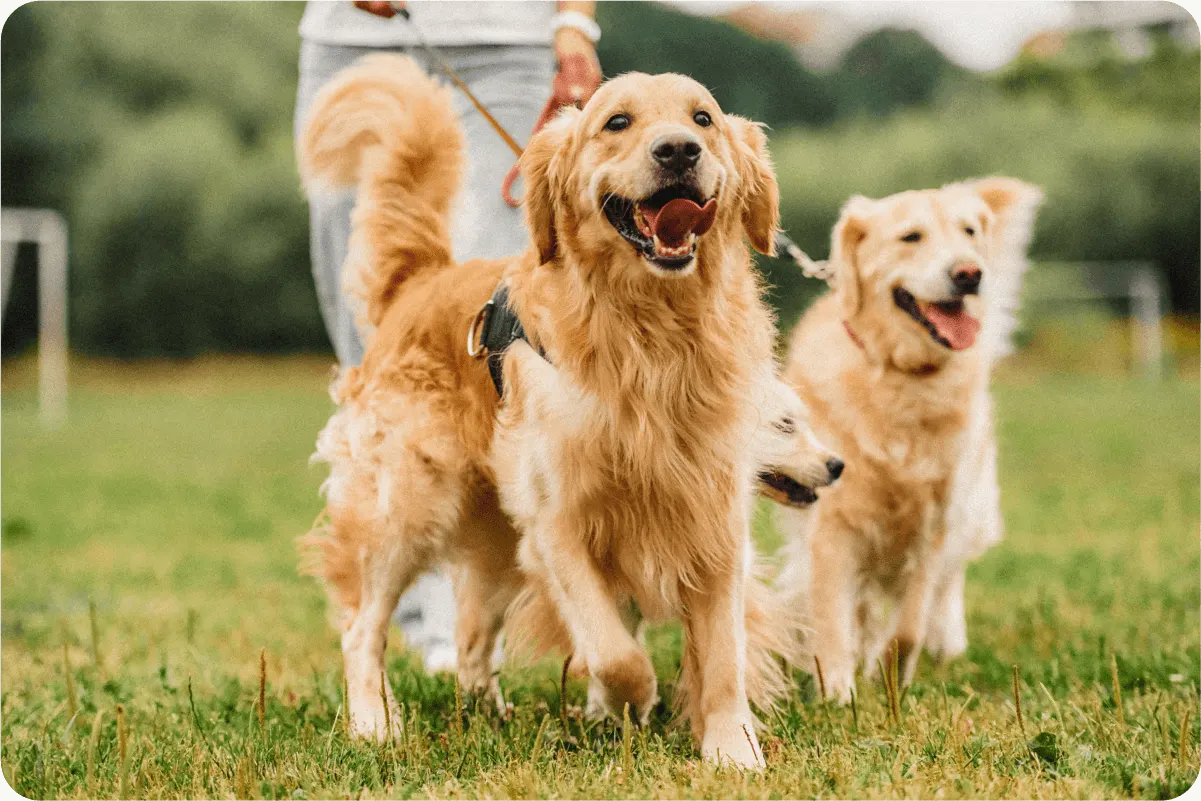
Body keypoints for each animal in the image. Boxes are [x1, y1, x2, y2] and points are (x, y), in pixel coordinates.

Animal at [296, 53, 835, 768]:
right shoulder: (559, 526)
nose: (678, 150)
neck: (652, 342)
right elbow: (617, 654)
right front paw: (624, 706)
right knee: (363, 627)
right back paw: (375, 723)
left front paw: (733, 751)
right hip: (406, 507)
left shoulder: (713, 519)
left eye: (703, 119)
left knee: (472, 636)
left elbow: (723, 655)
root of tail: (424, 279)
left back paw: (487, 716)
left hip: (494, 540)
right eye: (617, 122)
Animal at [773, 180, 1047, 701]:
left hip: (972, 504)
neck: (903, 378)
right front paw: (837, 692)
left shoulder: (933, 522)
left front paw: (889, 678)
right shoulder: (833, 524)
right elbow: (833, 618)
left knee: (947, 582)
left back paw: (945, 639)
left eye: (968, 232)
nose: (969, 274)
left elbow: (909, 625)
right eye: (910, 237)